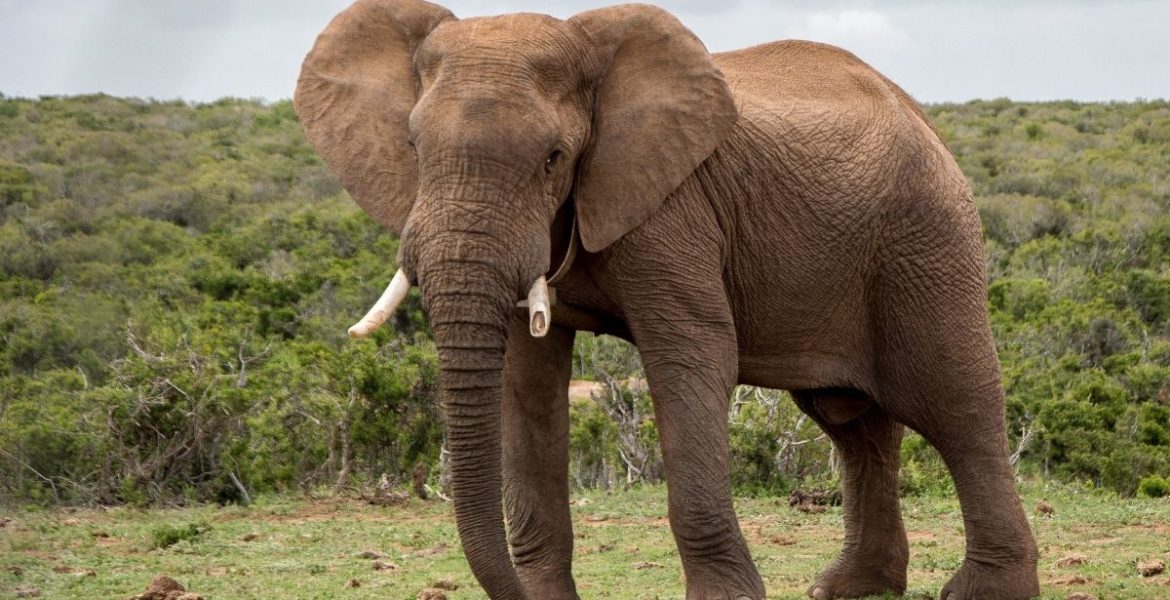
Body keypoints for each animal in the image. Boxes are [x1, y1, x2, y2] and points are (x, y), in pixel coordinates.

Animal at [293, 1, 1041, 599]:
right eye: (413, 147)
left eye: (554, 158)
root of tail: (918, 112)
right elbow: (526, 382)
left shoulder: (673, 208)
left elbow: (693, 354)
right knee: (852, 421)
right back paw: (849, 588)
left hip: (925, 236)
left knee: (955, 403)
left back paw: (983, 591)